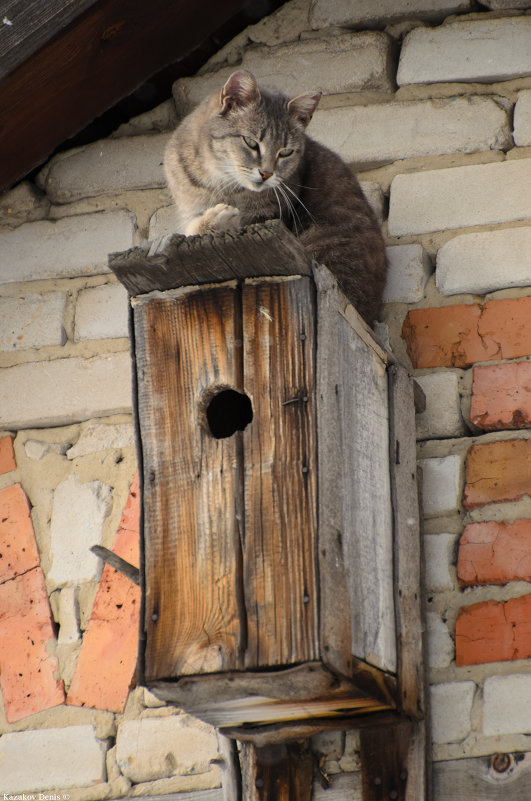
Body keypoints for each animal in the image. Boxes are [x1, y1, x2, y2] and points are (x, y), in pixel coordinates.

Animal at [164, 69, 388, 324]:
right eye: (251, 142)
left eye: (286, 152)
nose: (267, 173)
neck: (217, 182)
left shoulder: (266, 216)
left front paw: (220, 217)